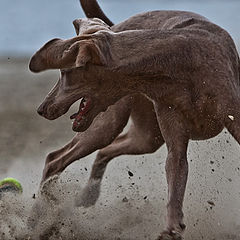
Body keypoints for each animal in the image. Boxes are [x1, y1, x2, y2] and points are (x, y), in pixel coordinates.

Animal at [29, 2, 239, 239]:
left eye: (65, 72)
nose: (42, 109)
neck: (179, 62)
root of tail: (117, 25)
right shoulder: (173, 129)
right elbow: (176, 174)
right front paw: (172, 226)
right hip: (111, 125)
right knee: (55, 159)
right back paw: (38, 219)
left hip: (146, 136)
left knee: (104, 151)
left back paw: (87, 195)